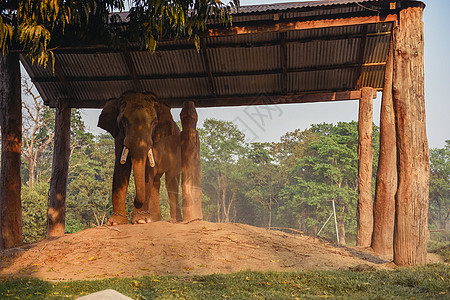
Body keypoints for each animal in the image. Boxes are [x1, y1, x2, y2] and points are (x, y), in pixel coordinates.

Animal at [97, 91, 182, 225]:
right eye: (123, 121)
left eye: (154, 123)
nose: (135, 200)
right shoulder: (119, 137)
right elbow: (121, 167)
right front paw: (116, 222)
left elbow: (148, 170)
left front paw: (141, 221)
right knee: (156, 182)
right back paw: (154, 220)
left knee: (171, 181)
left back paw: (174, 220)